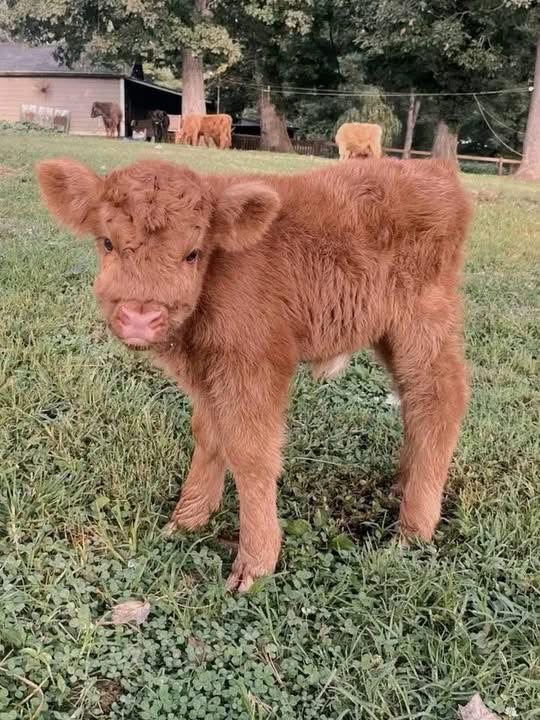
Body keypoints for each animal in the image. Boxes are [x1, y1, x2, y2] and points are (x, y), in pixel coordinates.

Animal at [36, 156, 472, 592]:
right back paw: (403, 481)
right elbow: (208, 434)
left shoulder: (255, 362)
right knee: (412, 402)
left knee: (439, 400)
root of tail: (433, 169)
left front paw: (256, 561)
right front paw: (188, 518)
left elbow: (250, 452)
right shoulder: (205, 370)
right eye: (107, 242)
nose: (140, 319)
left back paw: (414, 525)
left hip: (423, 326)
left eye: (193, 253)